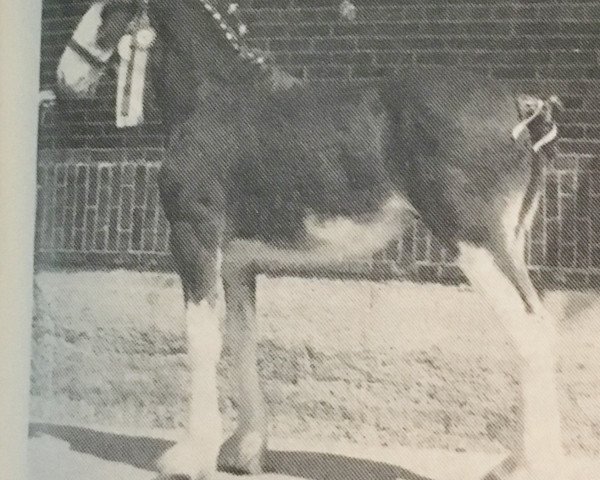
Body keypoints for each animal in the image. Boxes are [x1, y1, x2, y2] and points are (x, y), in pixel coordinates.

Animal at [54, 1, 564, 478]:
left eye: (106, 6)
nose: (64, 78)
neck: (214, 99)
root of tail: (521, 105)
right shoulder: (237, 263)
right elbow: (241, 339)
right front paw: (244, 451)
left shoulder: (194, 240)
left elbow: (202, 339)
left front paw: (190, 456)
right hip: (509, 244)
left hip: (478, 246)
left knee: (531, 335)